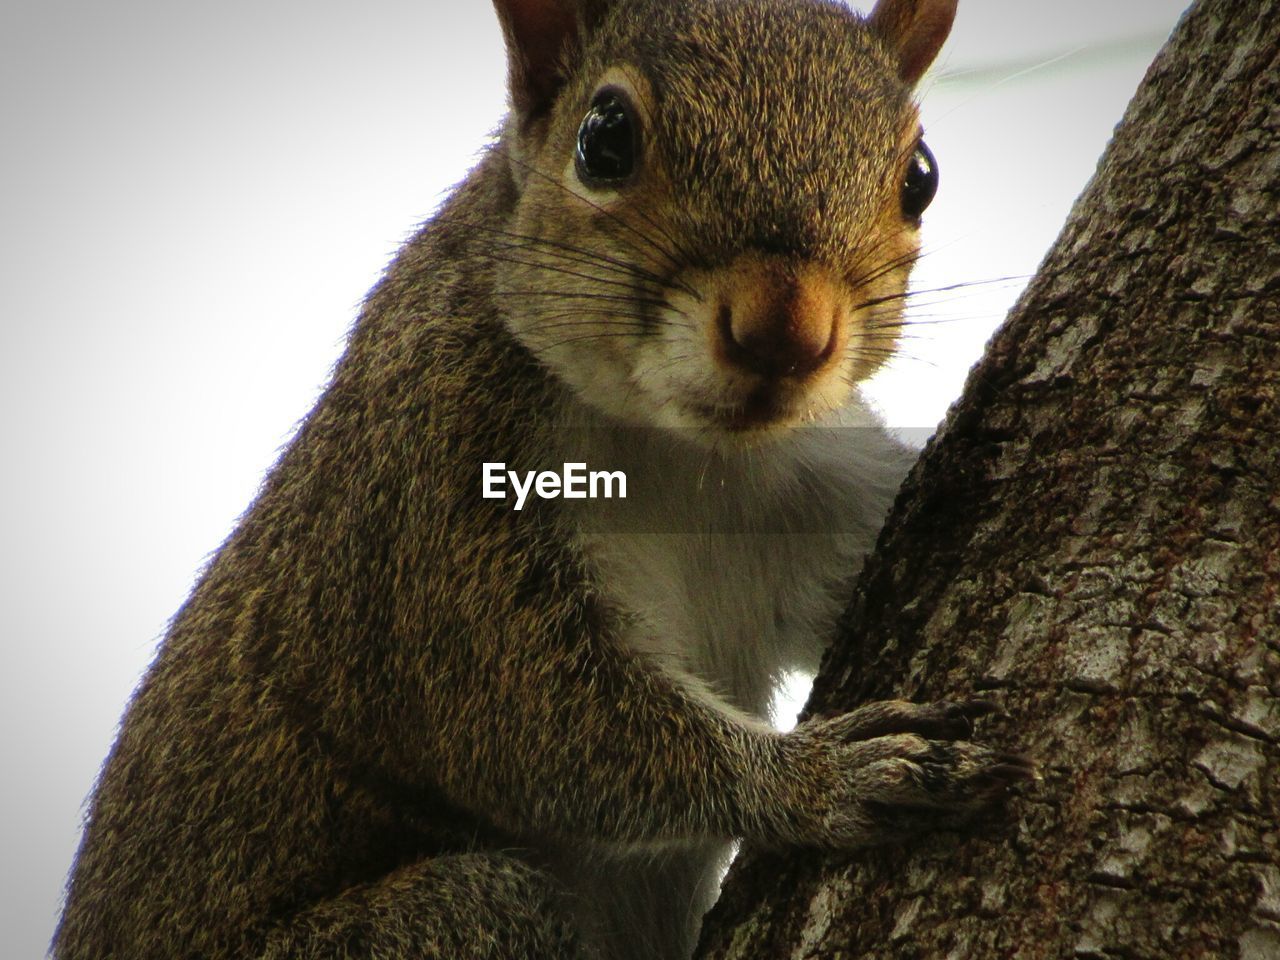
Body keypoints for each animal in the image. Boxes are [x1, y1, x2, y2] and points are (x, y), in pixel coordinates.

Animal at [55, 1, 1029, 960]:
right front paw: (825, 780)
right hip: (460, 917)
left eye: (921, 178)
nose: (786, 334)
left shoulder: (810, 488)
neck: (688, 453)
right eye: (604, 140)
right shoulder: (428, 507)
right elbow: (536, 722)